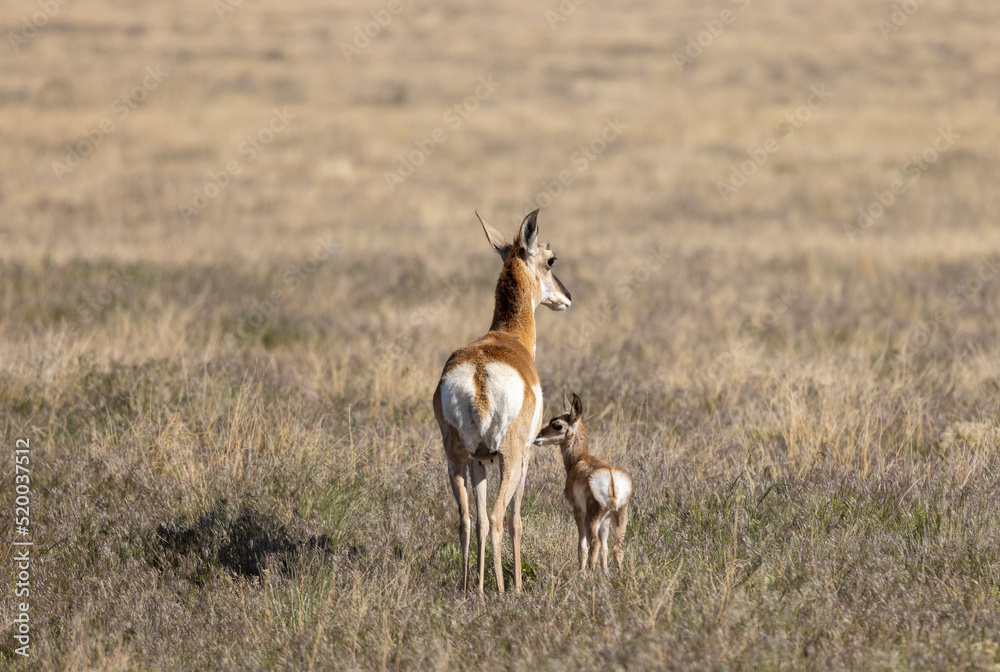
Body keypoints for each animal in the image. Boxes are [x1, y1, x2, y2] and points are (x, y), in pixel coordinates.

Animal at [432, 209, 571, 595]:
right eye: (551, 259)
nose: (566, 297)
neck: (507, 337)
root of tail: (479, 372)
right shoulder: (524, 458)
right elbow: (515, 520)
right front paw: (517, 584)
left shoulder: (480, 461)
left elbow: (477, 520)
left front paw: (479, 585)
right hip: (509, 459)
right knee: (497, 517)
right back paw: (505, 591)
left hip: (457, 460)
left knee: (467, 520)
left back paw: (472, 590)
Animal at [534, 392, 632, 573]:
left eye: (557, 425)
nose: (537, 438)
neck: (579, 460)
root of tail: (611, 476)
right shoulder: (605, 519)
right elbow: (605, 548)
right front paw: (605, 572)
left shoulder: (578, 511)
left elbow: (582, 546)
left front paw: (582, 572)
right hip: (620, 517)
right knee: (616, 547)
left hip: (592, 519)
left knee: (595, 543)